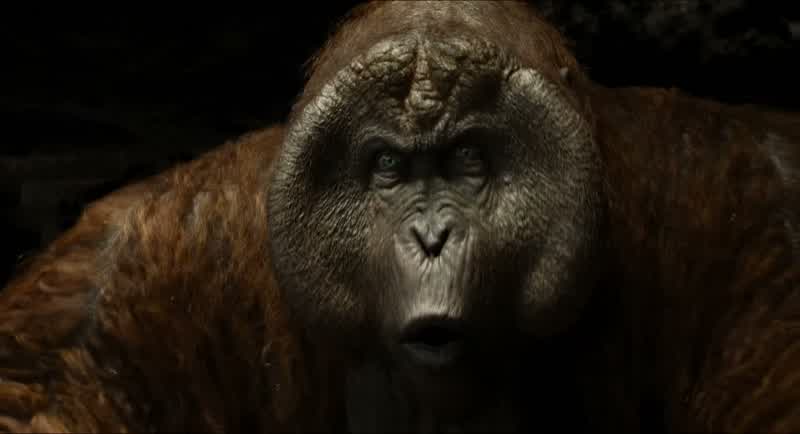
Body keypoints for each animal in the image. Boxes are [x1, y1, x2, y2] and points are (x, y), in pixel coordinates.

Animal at [1, 1, 799, 433]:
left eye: (468, 159)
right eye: (387, 166)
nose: (432, 236)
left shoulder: (740, 203)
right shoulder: (147, 261)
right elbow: (54, 375)